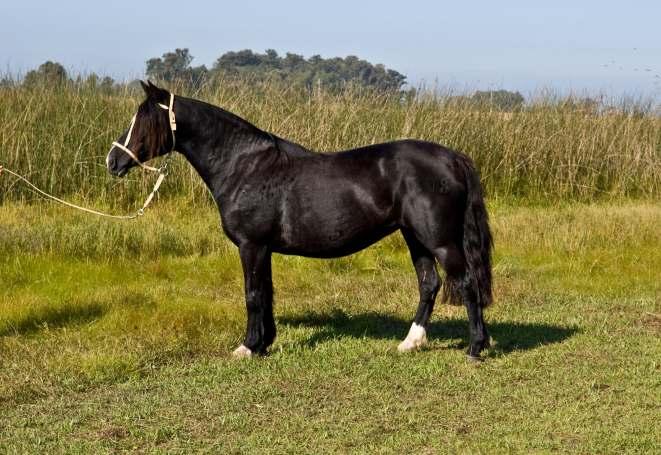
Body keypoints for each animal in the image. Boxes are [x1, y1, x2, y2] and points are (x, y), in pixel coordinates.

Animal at [107, 81, 490, 360]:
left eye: (144, 120)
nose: (113, 161)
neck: (244, 166)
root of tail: (452, 157)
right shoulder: (263, 248)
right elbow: (266, 292)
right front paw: (264, 343)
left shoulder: (251, 245)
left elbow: (253, 293)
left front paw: (247, 347)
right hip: (415, 237)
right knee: (429, 284)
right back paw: (411, 342)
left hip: (440, 241)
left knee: (467, 282)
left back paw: (475, 347)